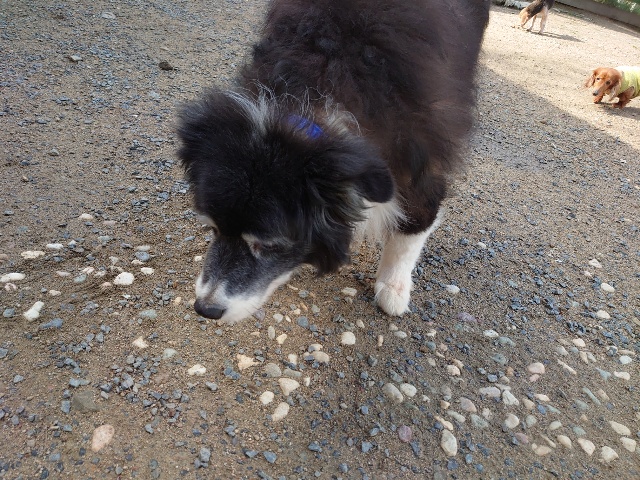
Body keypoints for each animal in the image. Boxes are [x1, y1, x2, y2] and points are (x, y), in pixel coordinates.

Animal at [177, 0, 490, 324]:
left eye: (269, 245)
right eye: (213, 228)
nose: (205, 309)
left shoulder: (421, 150)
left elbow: (414, 224)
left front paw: (394, 287)